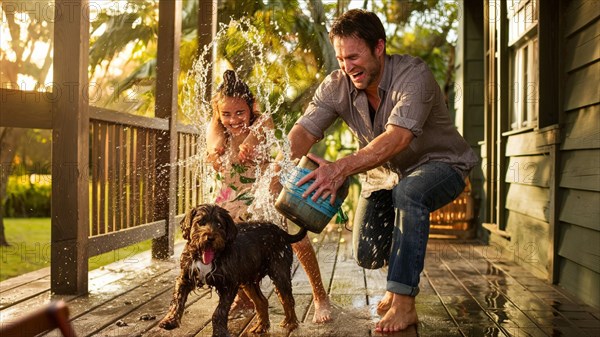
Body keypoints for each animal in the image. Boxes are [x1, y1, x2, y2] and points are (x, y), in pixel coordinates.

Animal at [158, 203, 304, 334]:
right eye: (200, 222)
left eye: (219, 225)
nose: (210, 238)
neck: (209, 256)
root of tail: (281, 232)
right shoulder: (185, 278)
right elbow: (177, 300)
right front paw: (170, 320)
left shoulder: (229, 284)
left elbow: (219, 311)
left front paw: (220, 331)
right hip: (249, 280)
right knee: (262, 301)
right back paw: (261, 326)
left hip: (279, 272)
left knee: (287, 299)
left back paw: (291, 323)